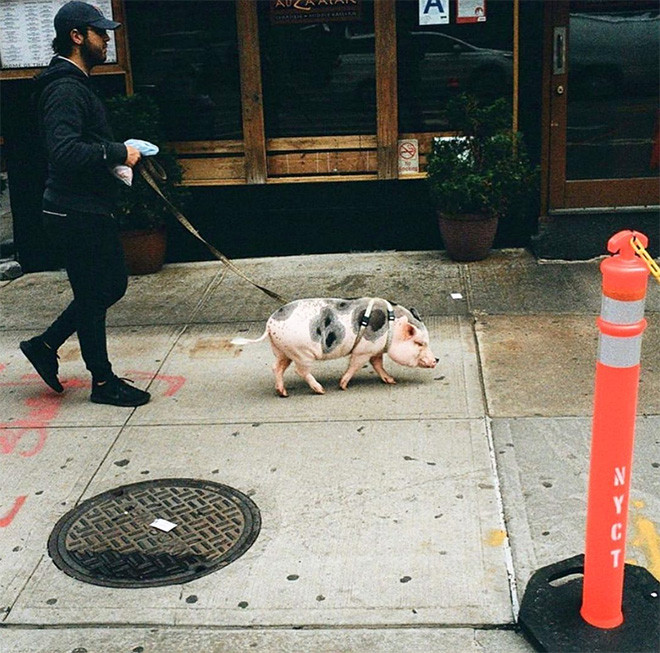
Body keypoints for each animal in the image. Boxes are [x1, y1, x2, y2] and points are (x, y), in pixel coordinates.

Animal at [232, 296, 438, 398]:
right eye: (420, 343)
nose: (436, 359)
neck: (392, 327)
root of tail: (270, 323)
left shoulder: (374, 350)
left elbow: (378, 364)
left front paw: (391, 381)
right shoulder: (363, 350)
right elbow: (355, 365)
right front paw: (343, 386)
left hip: (283, 351)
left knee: (277, 367)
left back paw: (283, 393)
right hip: (301, 352)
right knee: (300, 371)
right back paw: (320, 390)